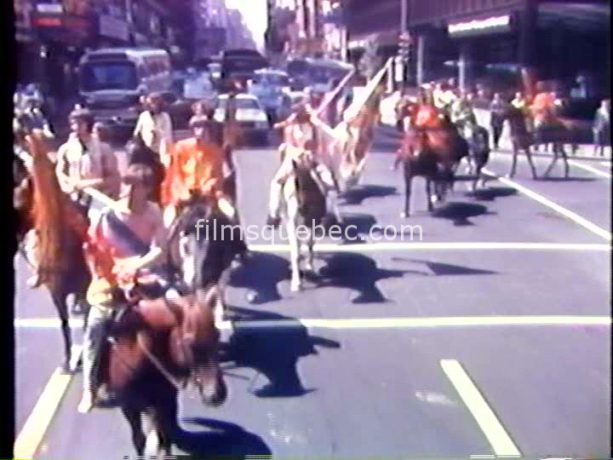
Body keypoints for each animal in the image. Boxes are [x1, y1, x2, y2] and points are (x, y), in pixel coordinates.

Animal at [98, 288, 227, 456]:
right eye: (189, 343)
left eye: (217, 335)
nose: (217, 394)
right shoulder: (129, 407)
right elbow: (139, 439)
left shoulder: (165, 402)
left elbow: (165, 436)